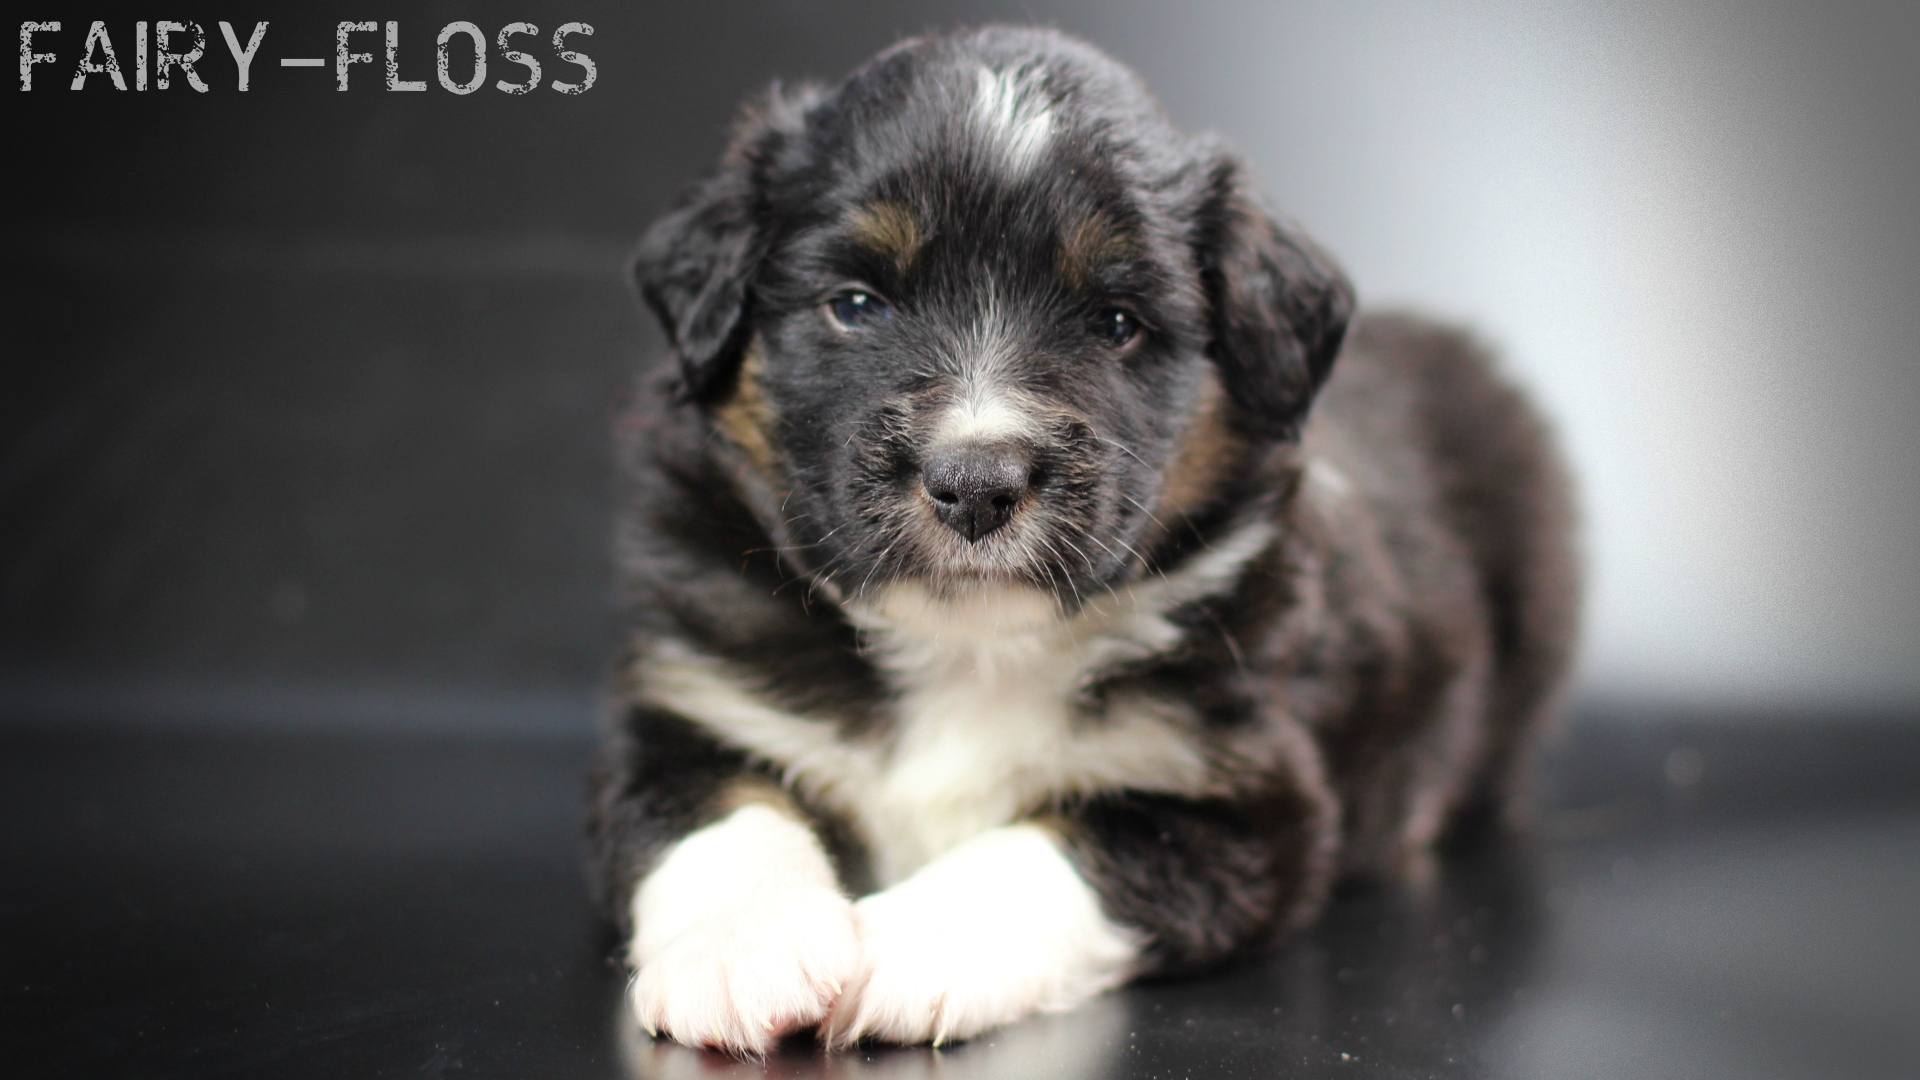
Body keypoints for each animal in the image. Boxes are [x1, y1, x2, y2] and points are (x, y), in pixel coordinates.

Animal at [587, 26, 1578, 1055]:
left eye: (1116, 323)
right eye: (856, 304)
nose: (976, 484)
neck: (967, 649)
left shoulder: (1241, 800)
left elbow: (1050, 849)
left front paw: (913, 944)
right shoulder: (686, 702)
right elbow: (714, 813)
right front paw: (742, 949)